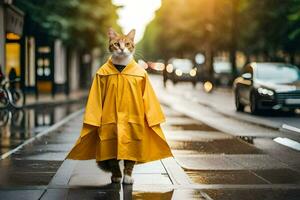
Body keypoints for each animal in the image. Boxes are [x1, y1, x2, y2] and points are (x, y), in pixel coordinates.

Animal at [96, 27, 137, 184]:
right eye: (116, 44)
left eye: (127, 43)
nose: (122, 49)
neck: (121, 66)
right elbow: (113, 162)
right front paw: (117, 176)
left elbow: (130, 161)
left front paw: (128, 176)